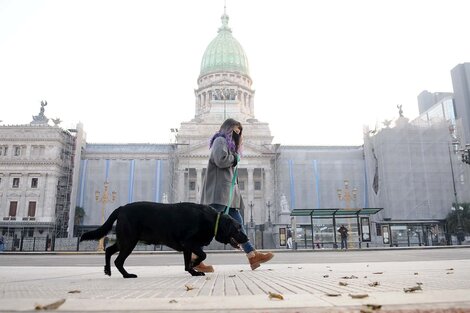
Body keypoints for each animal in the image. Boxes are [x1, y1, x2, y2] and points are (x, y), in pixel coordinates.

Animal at [79, 201, 248, 276]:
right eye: (239, 228)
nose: (247, 239)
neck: (213, 220)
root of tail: (121, 208)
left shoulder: (187, 247)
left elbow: (187, 262)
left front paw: (193, 271)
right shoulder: (189, 242)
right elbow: (202, 254)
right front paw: (194, 265)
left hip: (124, 240)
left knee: (108, 250)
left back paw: (107, 270)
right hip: (129, 241)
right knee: (118, 260)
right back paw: (127, 275)